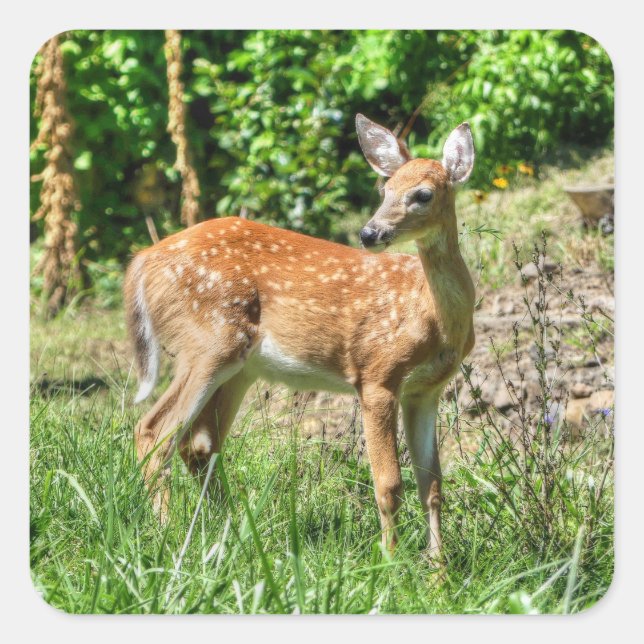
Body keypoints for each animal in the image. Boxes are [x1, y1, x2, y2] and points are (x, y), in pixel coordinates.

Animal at [124, 114, 476, 563]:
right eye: (386, 189)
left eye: (423, 194)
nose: (369, 233)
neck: (430, 316)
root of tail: (141, 261)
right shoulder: (376, 374)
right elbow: (389, 483)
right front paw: (392, 562)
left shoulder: (426, 389)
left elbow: (431, 484)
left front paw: (438, 568)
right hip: (208, 341)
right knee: (154, 431)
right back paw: (169, 535)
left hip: (239, 367)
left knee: (199, 442)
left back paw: (229, 530)